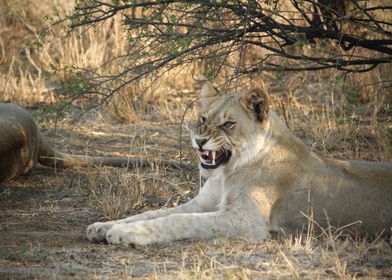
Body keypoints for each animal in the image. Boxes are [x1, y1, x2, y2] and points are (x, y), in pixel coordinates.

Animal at [86, 83, 392, 245]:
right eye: (203, 118)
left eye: (228, 124)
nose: (199, 141)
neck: (226, 173)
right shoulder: (203, 203)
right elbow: (154, 213)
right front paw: (102, 226)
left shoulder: (247, 221)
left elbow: (178, 220)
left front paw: (126, 233)